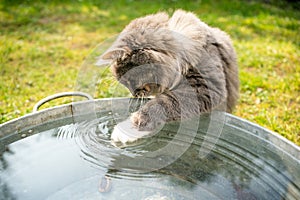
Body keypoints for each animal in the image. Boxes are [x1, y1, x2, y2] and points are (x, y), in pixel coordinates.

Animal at [101, 9, 239, 141]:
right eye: (125, 83)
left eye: (131, 80)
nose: (133, 94)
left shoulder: (204, 88)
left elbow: (163, 103)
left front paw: (129, 129)